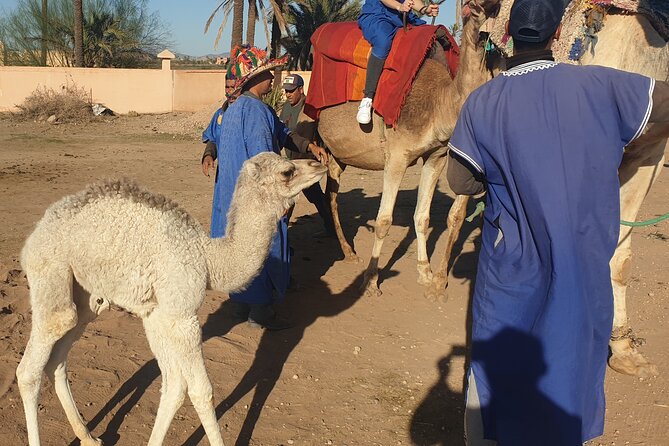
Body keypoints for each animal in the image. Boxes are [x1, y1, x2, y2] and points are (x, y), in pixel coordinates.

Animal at [15, 152, 326, 446]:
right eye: (287, 171)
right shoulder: (183, 317)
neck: (208, 258)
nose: (318, 163)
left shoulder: (158, 313)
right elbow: (202, 391)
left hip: (86, 294)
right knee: (34, 360)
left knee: (59, 356)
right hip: (49, 268)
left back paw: (89, 437)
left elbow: (174, 386)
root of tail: (34, 234)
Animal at [318, 0, 499, 297]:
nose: (491, 7)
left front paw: (426, 275)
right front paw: (371, 282)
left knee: (330, 194)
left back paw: (347, 250)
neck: (440, 104)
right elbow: (383, 221)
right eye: (468, 5)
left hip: (335, 155)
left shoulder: (436, 155)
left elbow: (422, 217)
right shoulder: (397, 155)